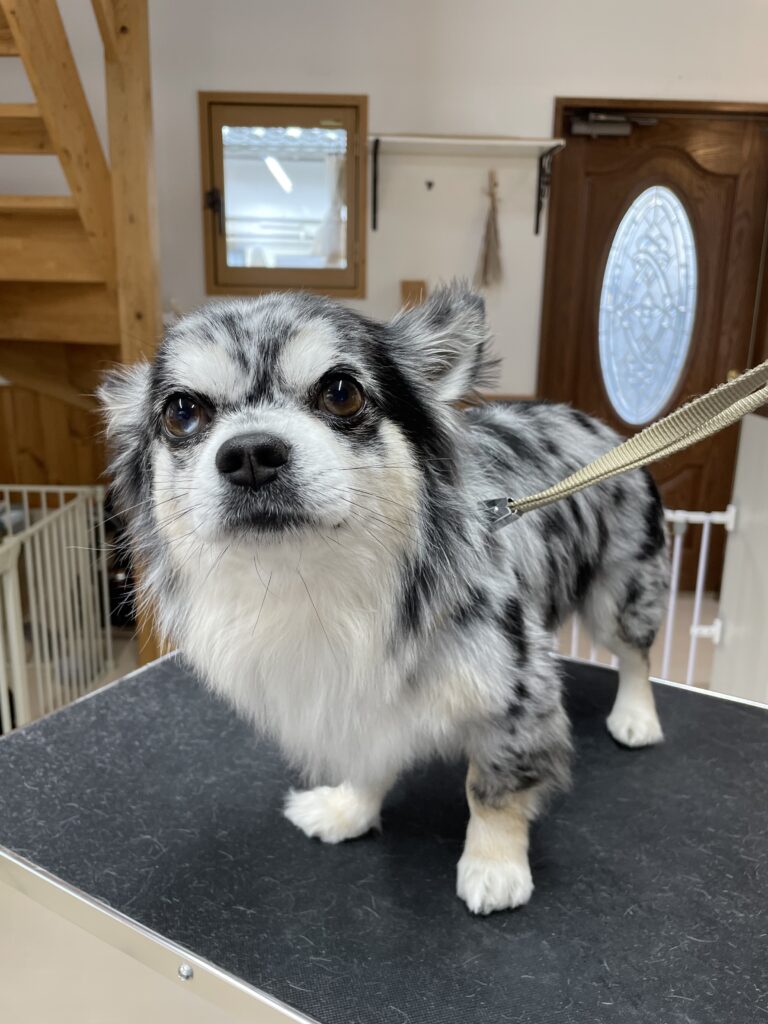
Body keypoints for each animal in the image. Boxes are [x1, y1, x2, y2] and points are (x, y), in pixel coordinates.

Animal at [99, 284, 669, 915]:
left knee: (636, 656)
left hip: (622, 591)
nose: (249, 452)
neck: (315, 582)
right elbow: (366, 762)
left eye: (341, 392)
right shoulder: (354, 699)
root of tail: (594, 422)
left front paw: (494, 865)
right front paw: (349, 810)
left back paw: (636, 717)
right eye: (181, 411)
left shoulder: (517, 692)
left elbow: (492, 788)